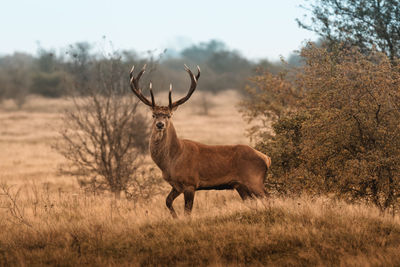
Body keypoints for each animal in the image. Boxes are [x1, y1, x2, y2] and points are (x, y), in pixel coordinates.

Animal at [130, 64, 270, 218]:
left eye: (168, 115)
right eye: (154, 115)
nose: (160, 124)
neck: (172, 160)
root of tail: (266, 158)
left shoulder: (190, 183)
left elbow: (187, 211)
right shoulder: (176, 185)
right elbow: (167, 201)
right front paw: (175, 217)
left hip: (254, 179)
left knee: (268, 197)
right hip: (241, 186)